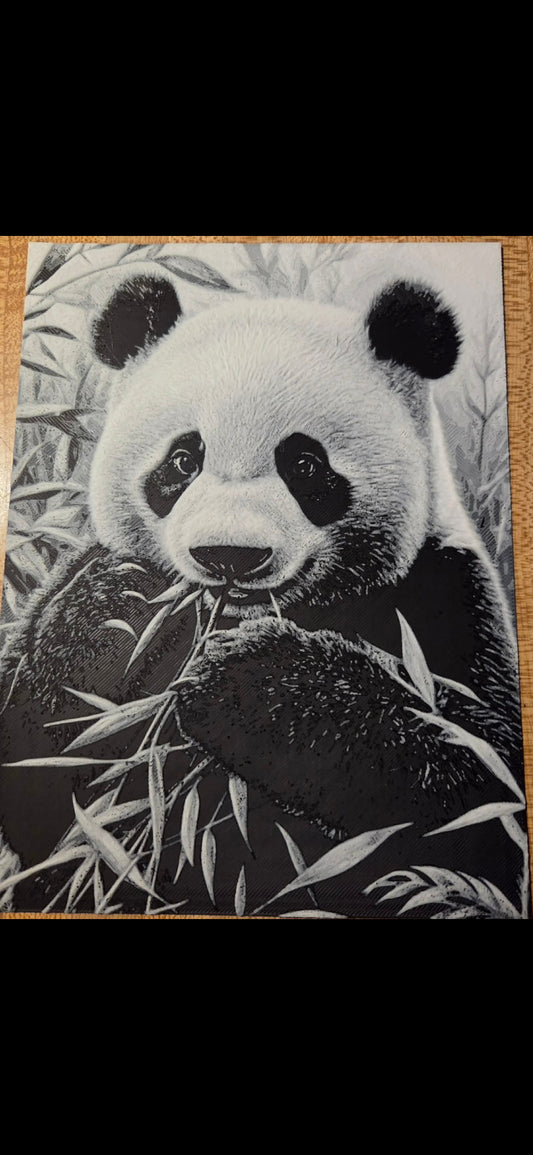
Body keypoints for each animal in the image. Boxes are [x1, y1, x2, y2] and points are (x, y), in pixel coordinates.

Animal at [0, 273, 526, 916]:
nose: (229, 555)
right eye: (184, 458)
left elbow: (478, 799)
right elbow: (43, 785)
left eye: (305, 464)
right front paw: (120, 611)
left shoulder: (445, 596)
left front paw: (250, 680)